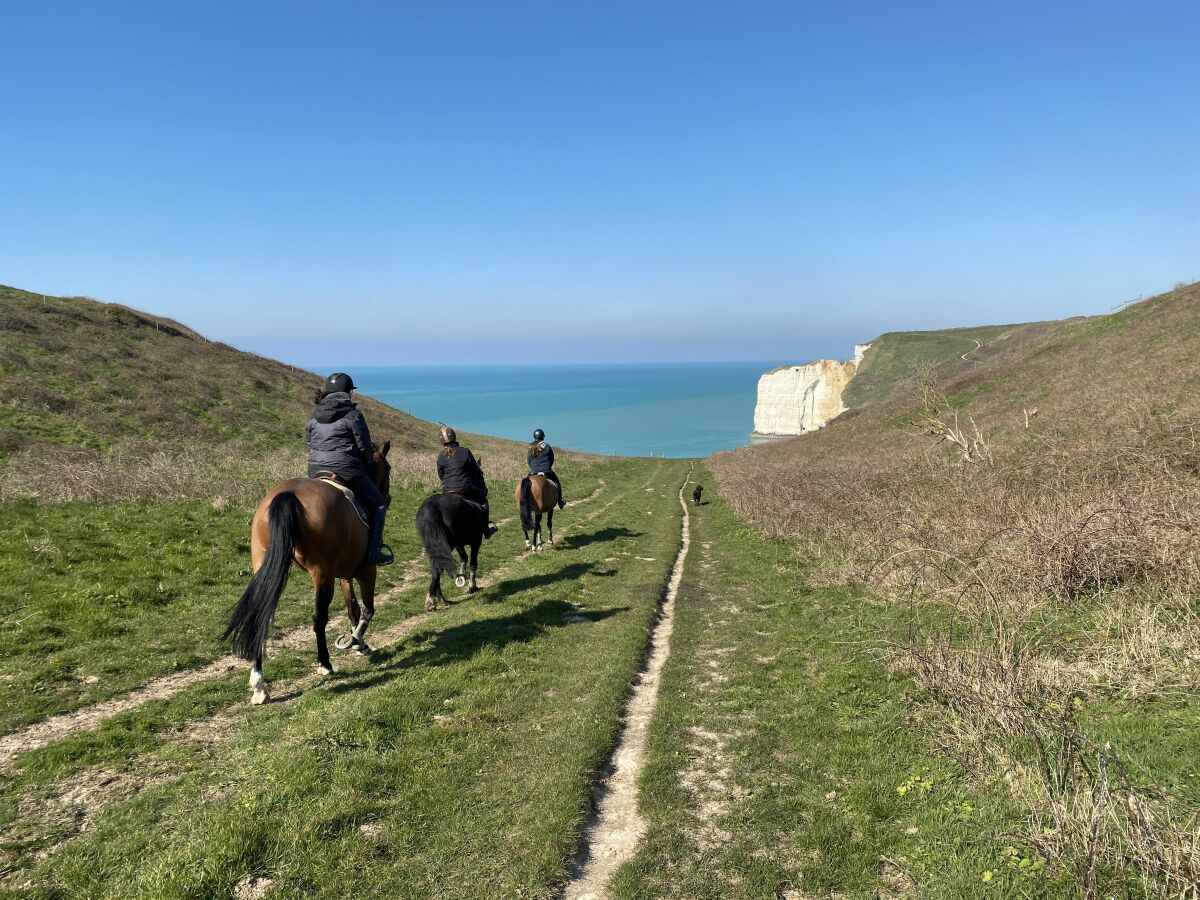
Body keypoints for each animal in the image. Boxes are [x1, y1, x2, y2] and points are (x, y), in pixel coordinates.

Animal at [223, 441, 391, 705]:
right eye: (388, 469)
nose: (387, 496)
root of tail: (288, 494)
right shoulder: (365, 570)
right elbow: (367, 609)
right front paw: (357, 642)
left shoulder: (344, 574)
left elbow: (352, 609)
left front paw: (358, 643)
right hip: (321, 573)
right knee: (319, 617)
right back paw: (325, 664)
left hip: (263, 562)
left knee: (260, 614)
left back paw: (259, 685)